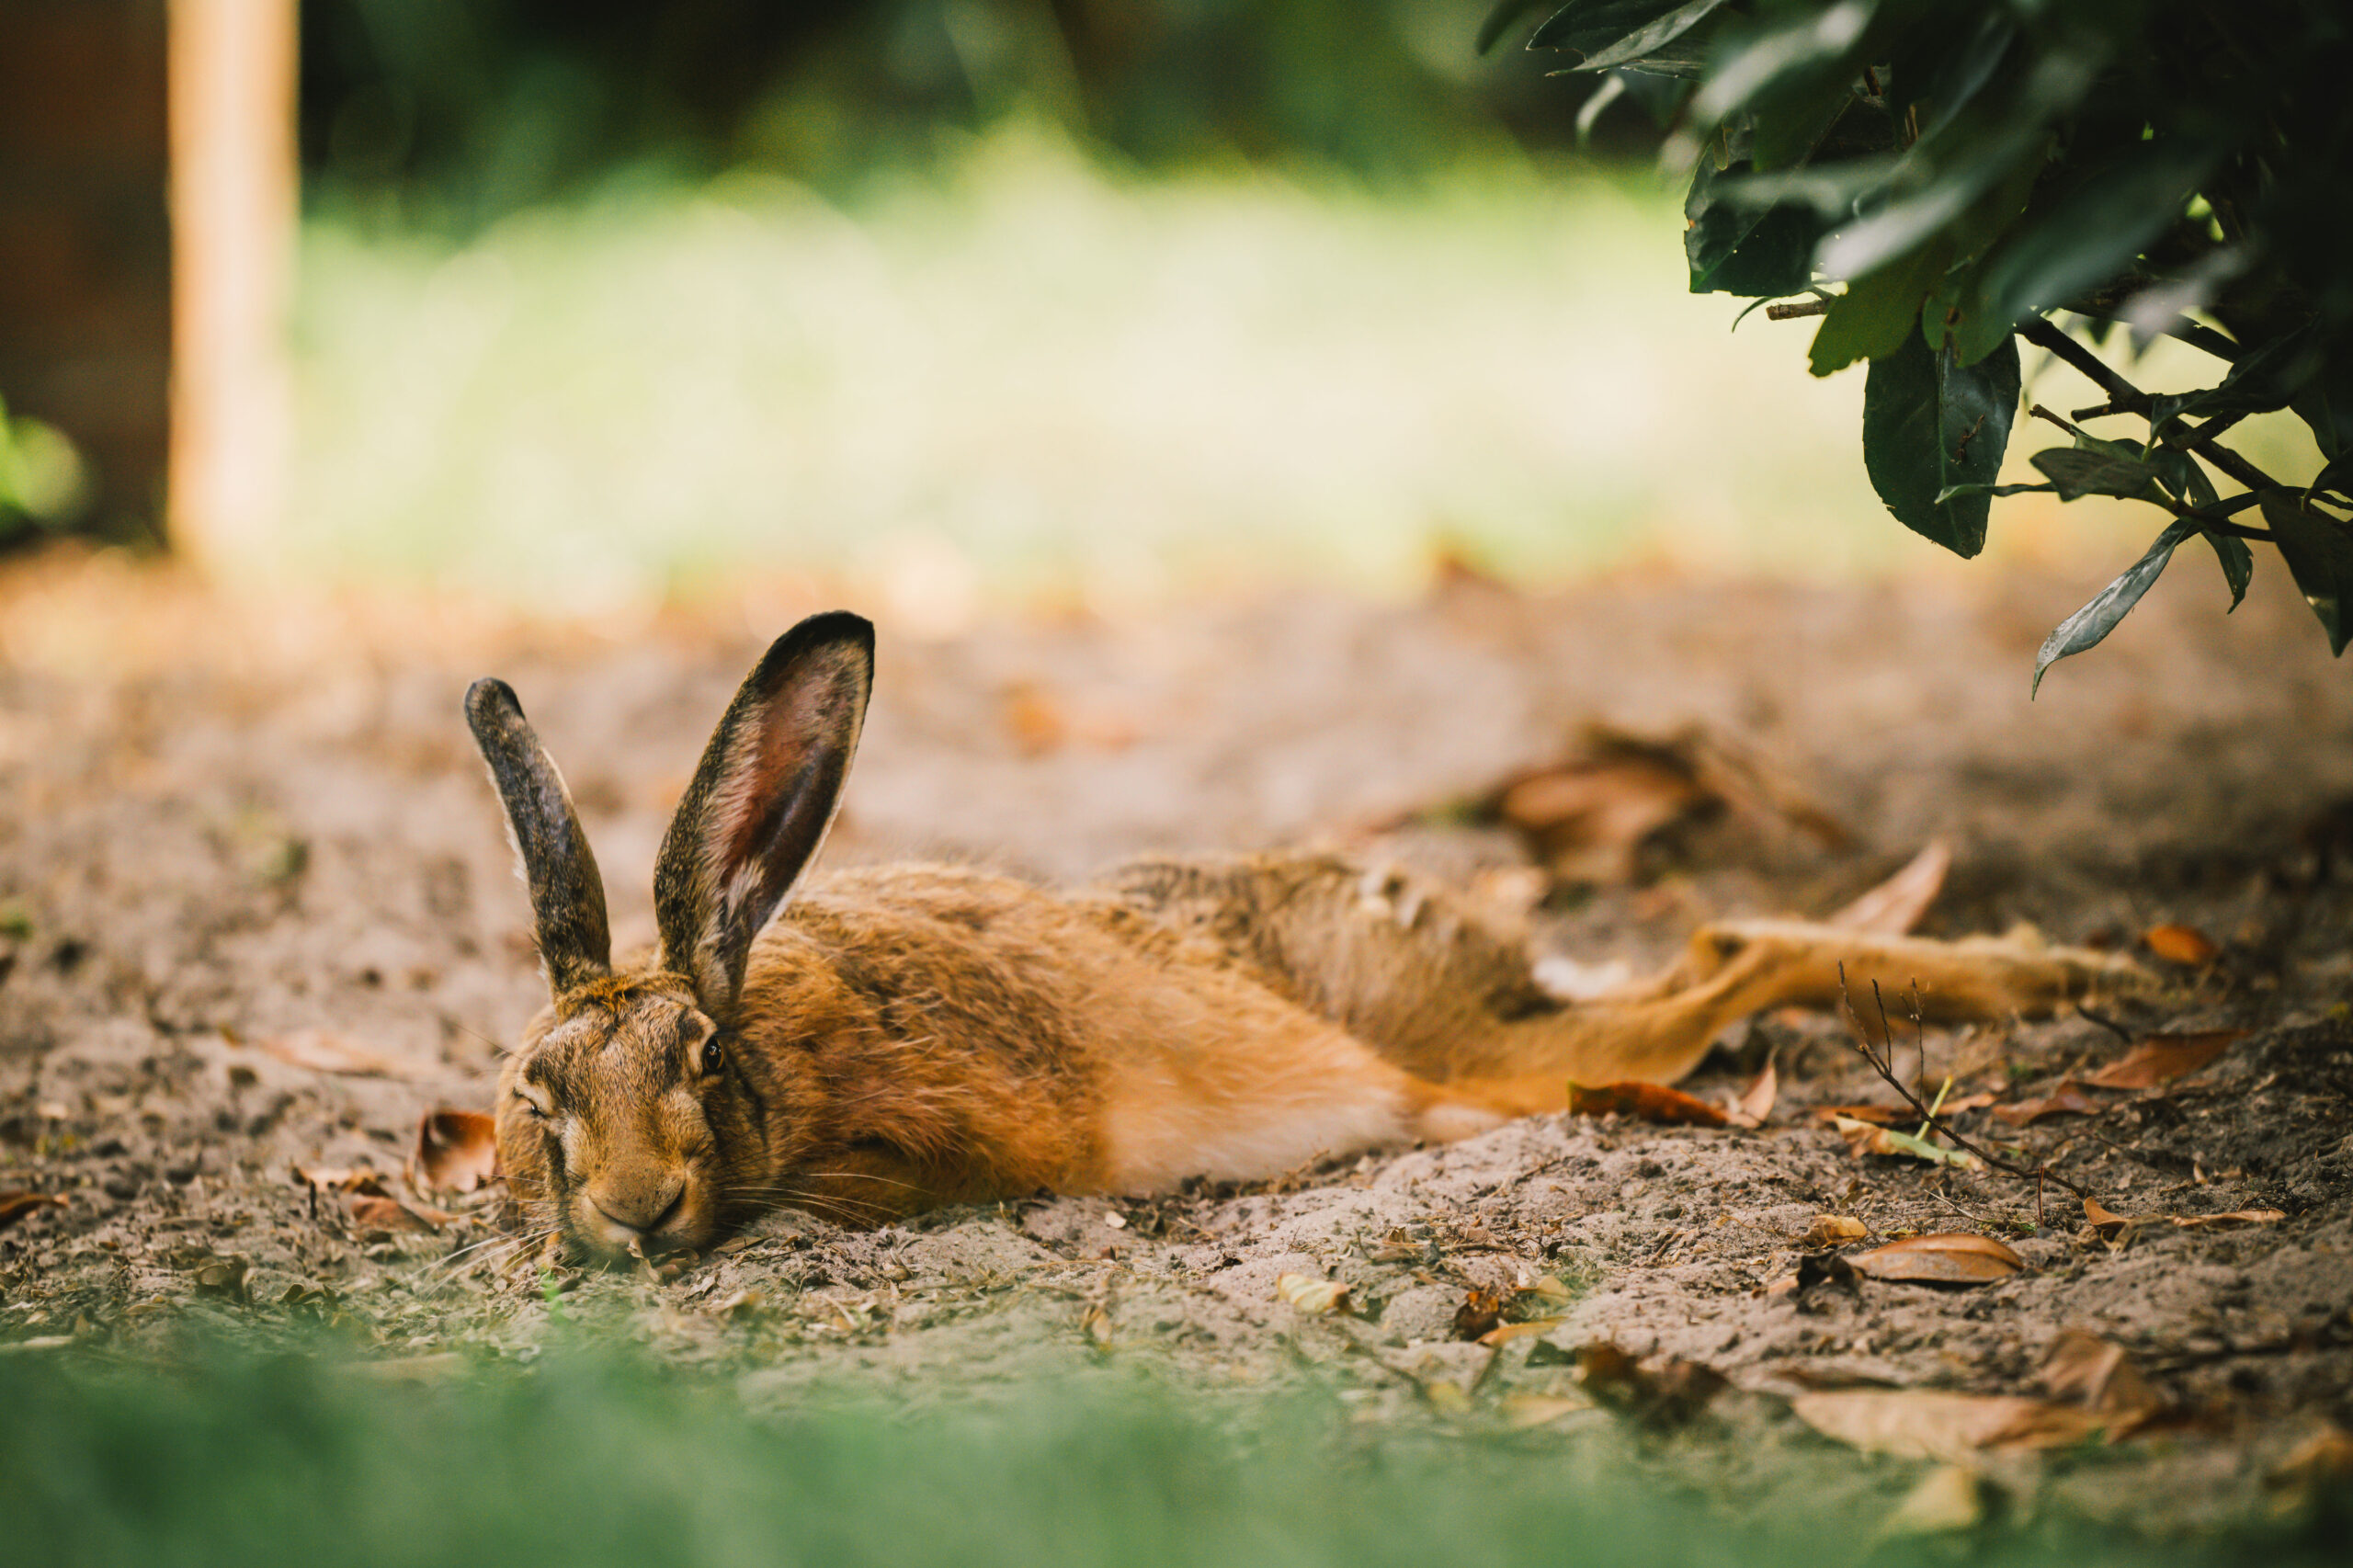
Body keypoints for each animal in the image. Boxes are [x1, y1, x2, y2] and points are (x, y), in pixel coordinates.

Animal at [467, 611, 2146, 1264]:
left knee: (1733, 961)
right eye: (534, 1094)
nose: (631, 1206)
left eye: (701, 1059)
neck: (780, 1061)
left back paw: (2065, 973)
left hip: (1500, 1056)